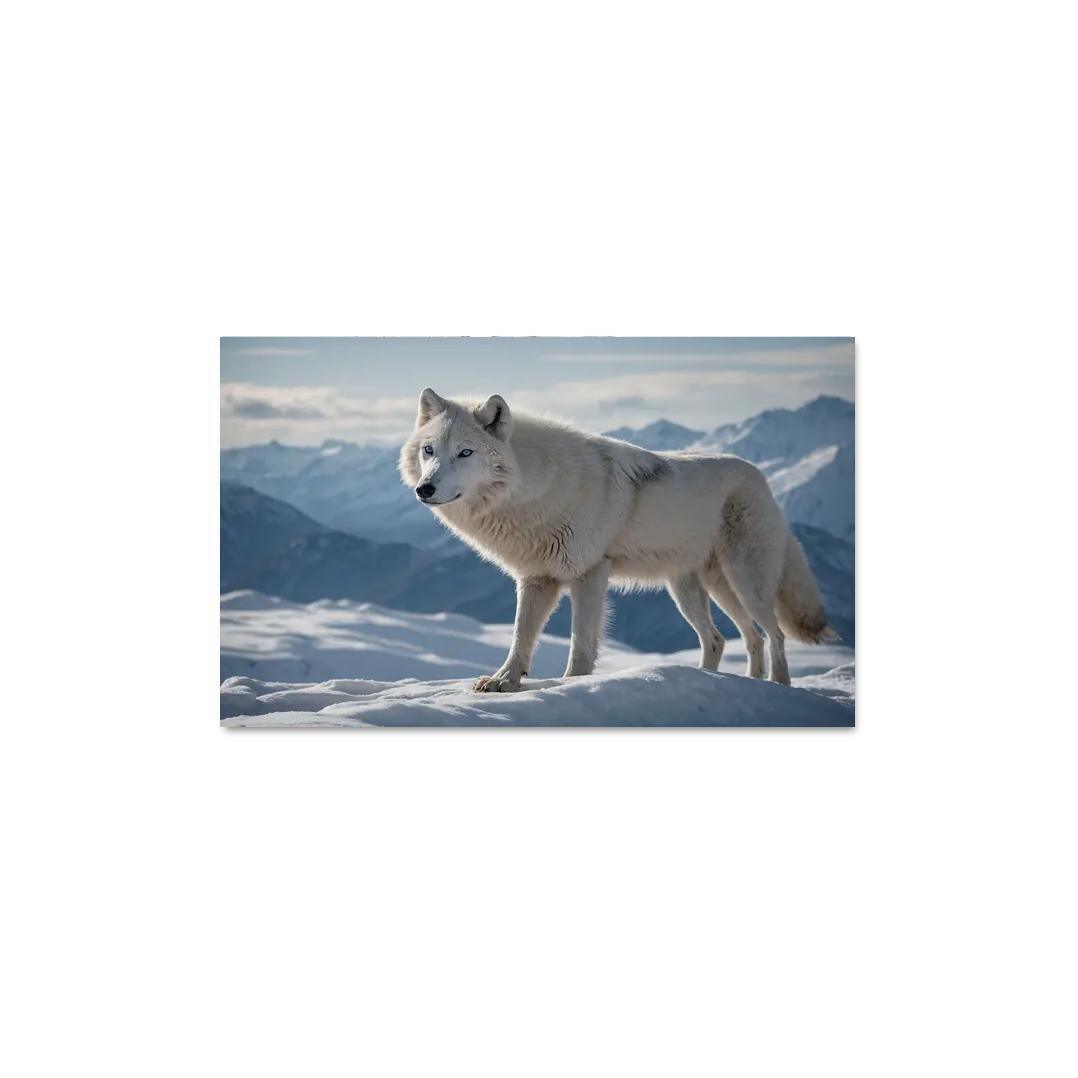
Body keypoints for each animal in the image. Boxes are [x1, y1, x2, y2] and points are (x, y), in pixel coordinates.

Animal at [399, 388, 838, 692]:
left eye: (465, 453)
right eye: (429, 451)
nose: (425, 489)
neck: (536, 489)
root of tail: (761, 477)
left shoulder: (589, 574)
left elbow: (581, 644)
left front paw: (572, 684)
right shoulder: (537, 579)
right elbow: (520, 638)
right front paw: (503, 682)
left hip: (745, 582)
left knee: (773, 635)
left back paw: (776, 686)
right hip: (695, 589)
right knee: (726, 639)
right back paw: (723, 682)